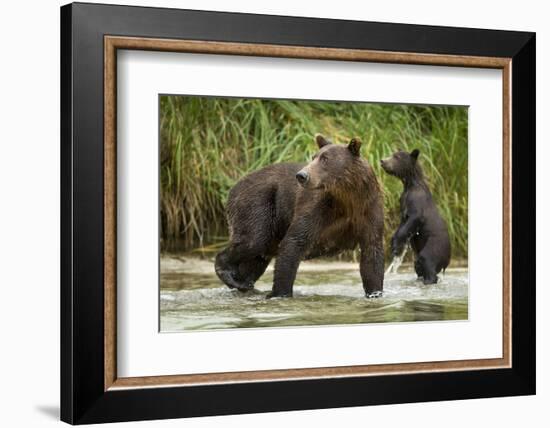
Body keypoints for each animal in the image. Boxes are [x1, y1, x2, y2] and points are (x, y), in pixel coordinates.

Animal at [213, 134, 386, 298]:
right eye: (314, 157)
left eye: (325, 159)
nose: (302, 175)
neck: (347, 198)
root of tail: (234, 186)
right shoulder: (318, 208)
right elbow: (294, 241)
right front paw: (281, 293)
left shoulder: (368, 210)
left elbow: (372, 254)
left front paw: (375, 292)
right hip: (259, 203)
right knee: (254, 240)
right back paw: (229, 274)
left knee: (257, 258)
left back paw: (243, 282)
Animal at [384, 150, 452, 284]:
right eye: (392, 154)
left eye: (396, 157)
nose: (382, 161)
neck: (409, 184)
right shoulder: (403, 202)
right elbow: (402, 223)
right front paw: (394, 243)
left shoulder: (416, 200)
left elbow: (415, 218)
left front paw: (396, 246)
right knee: (418, 265)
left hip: (435, 244)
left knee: (427, 260)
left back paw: (429, 280)